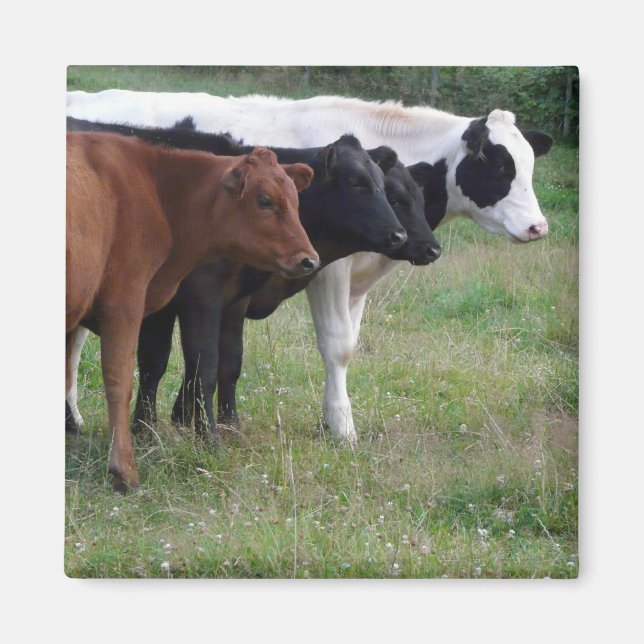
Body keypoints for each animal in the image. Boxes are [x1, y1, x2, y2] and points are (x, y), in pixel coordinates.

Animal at [67, 91, 553, 442]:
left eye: (530, 167)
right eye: (499, 166)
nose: (538, 227)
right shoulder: (325, 271)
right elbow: (337, 346)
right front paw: (343, 429)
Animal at [67, 131, 316, 491]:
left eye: (296, 201)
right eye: (265, 200)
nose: (309, 259)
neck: (157, 189)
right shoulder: (125, 302)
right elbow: (119, 379)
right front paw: (124, 469)